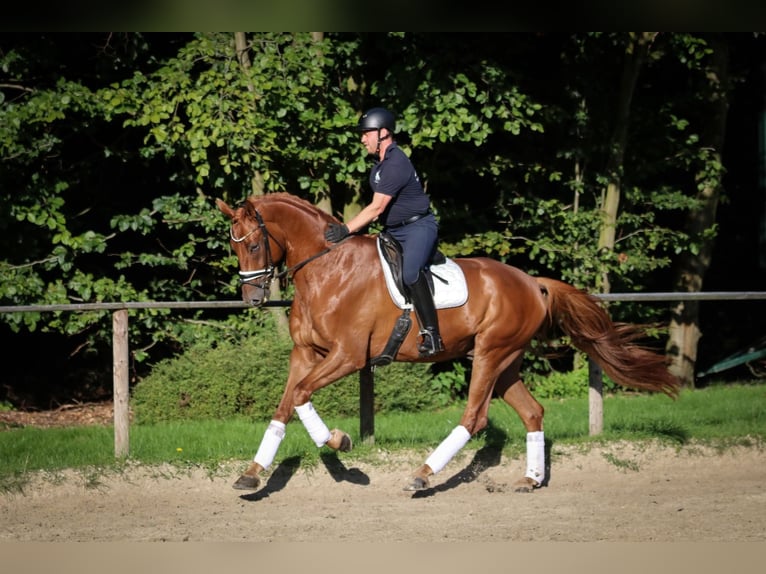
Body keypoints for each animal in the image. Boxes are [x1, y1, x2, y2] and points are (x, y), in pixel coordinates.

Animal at [216, 194, 684, 496]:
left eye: (254, 243)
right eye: (234, 248)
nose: (252, 299)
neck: (328, 268)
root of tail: (532, 282)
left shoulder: (347, 356)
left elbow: (300, 394)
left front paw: (338, 440)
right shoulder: (305, 354)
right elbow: (285, 404)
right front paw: (252, 474)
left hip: (491, 354)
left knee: (474, 418)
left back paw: (423, 475)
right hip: (505, 362)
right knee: (532, 412)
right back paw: (529, 479)